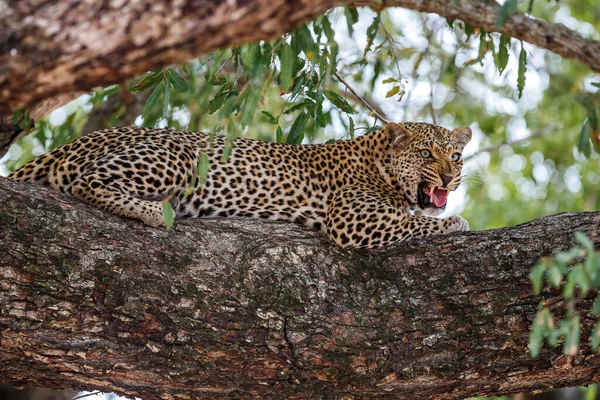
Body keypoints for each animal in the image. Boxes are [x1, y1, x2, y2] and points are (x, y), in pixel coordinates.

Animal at [7, 121, 472, 247]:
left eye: (455, 156)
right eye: (427, 155)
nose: (450, 177)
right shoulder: (353, 219)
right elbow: (413, 222)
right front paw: (456, 223)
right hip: (177, 157)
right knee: (87, 181)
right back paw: (153, 211)